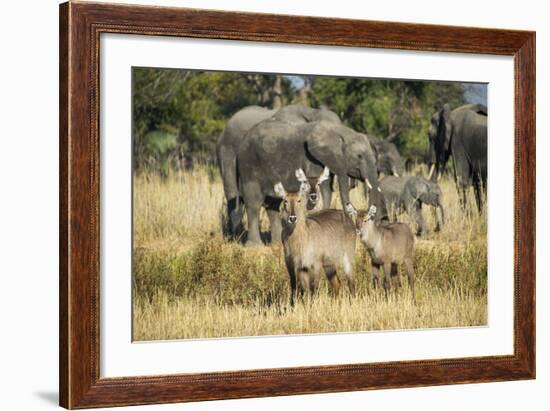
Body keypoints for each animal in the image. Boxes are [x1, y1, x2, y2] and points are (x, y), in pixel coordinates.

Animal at [239, 120, 386, 248]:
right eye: (359, 156)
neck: (341, 132)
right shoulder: (312, 160)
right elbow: (323, 190)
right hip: (249, 165)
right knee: (253, 203)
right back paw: (254, 245)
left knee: (272, 205)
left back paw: (276, 244)